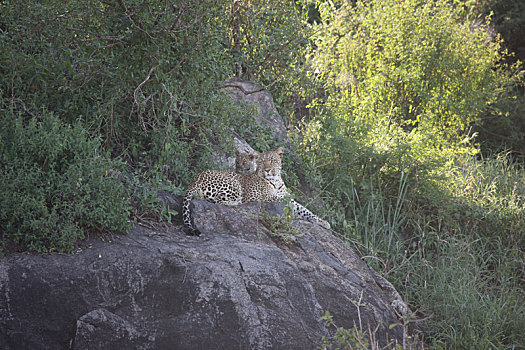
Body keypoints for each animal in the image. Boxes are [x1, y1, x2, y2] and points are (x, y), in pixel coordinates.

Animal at [184, 147, 330, 235]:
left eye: (272, 160)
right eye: (262, 161)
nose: (267, 170)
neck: (276, 180)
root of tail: (195, 179)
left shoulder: (290, 198)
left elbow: (304, 209)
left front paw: (323, 222)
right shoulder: (255, 196)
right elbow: (277, 199)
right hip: (234, 184)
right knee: (217, 200)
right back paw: (236, 203)